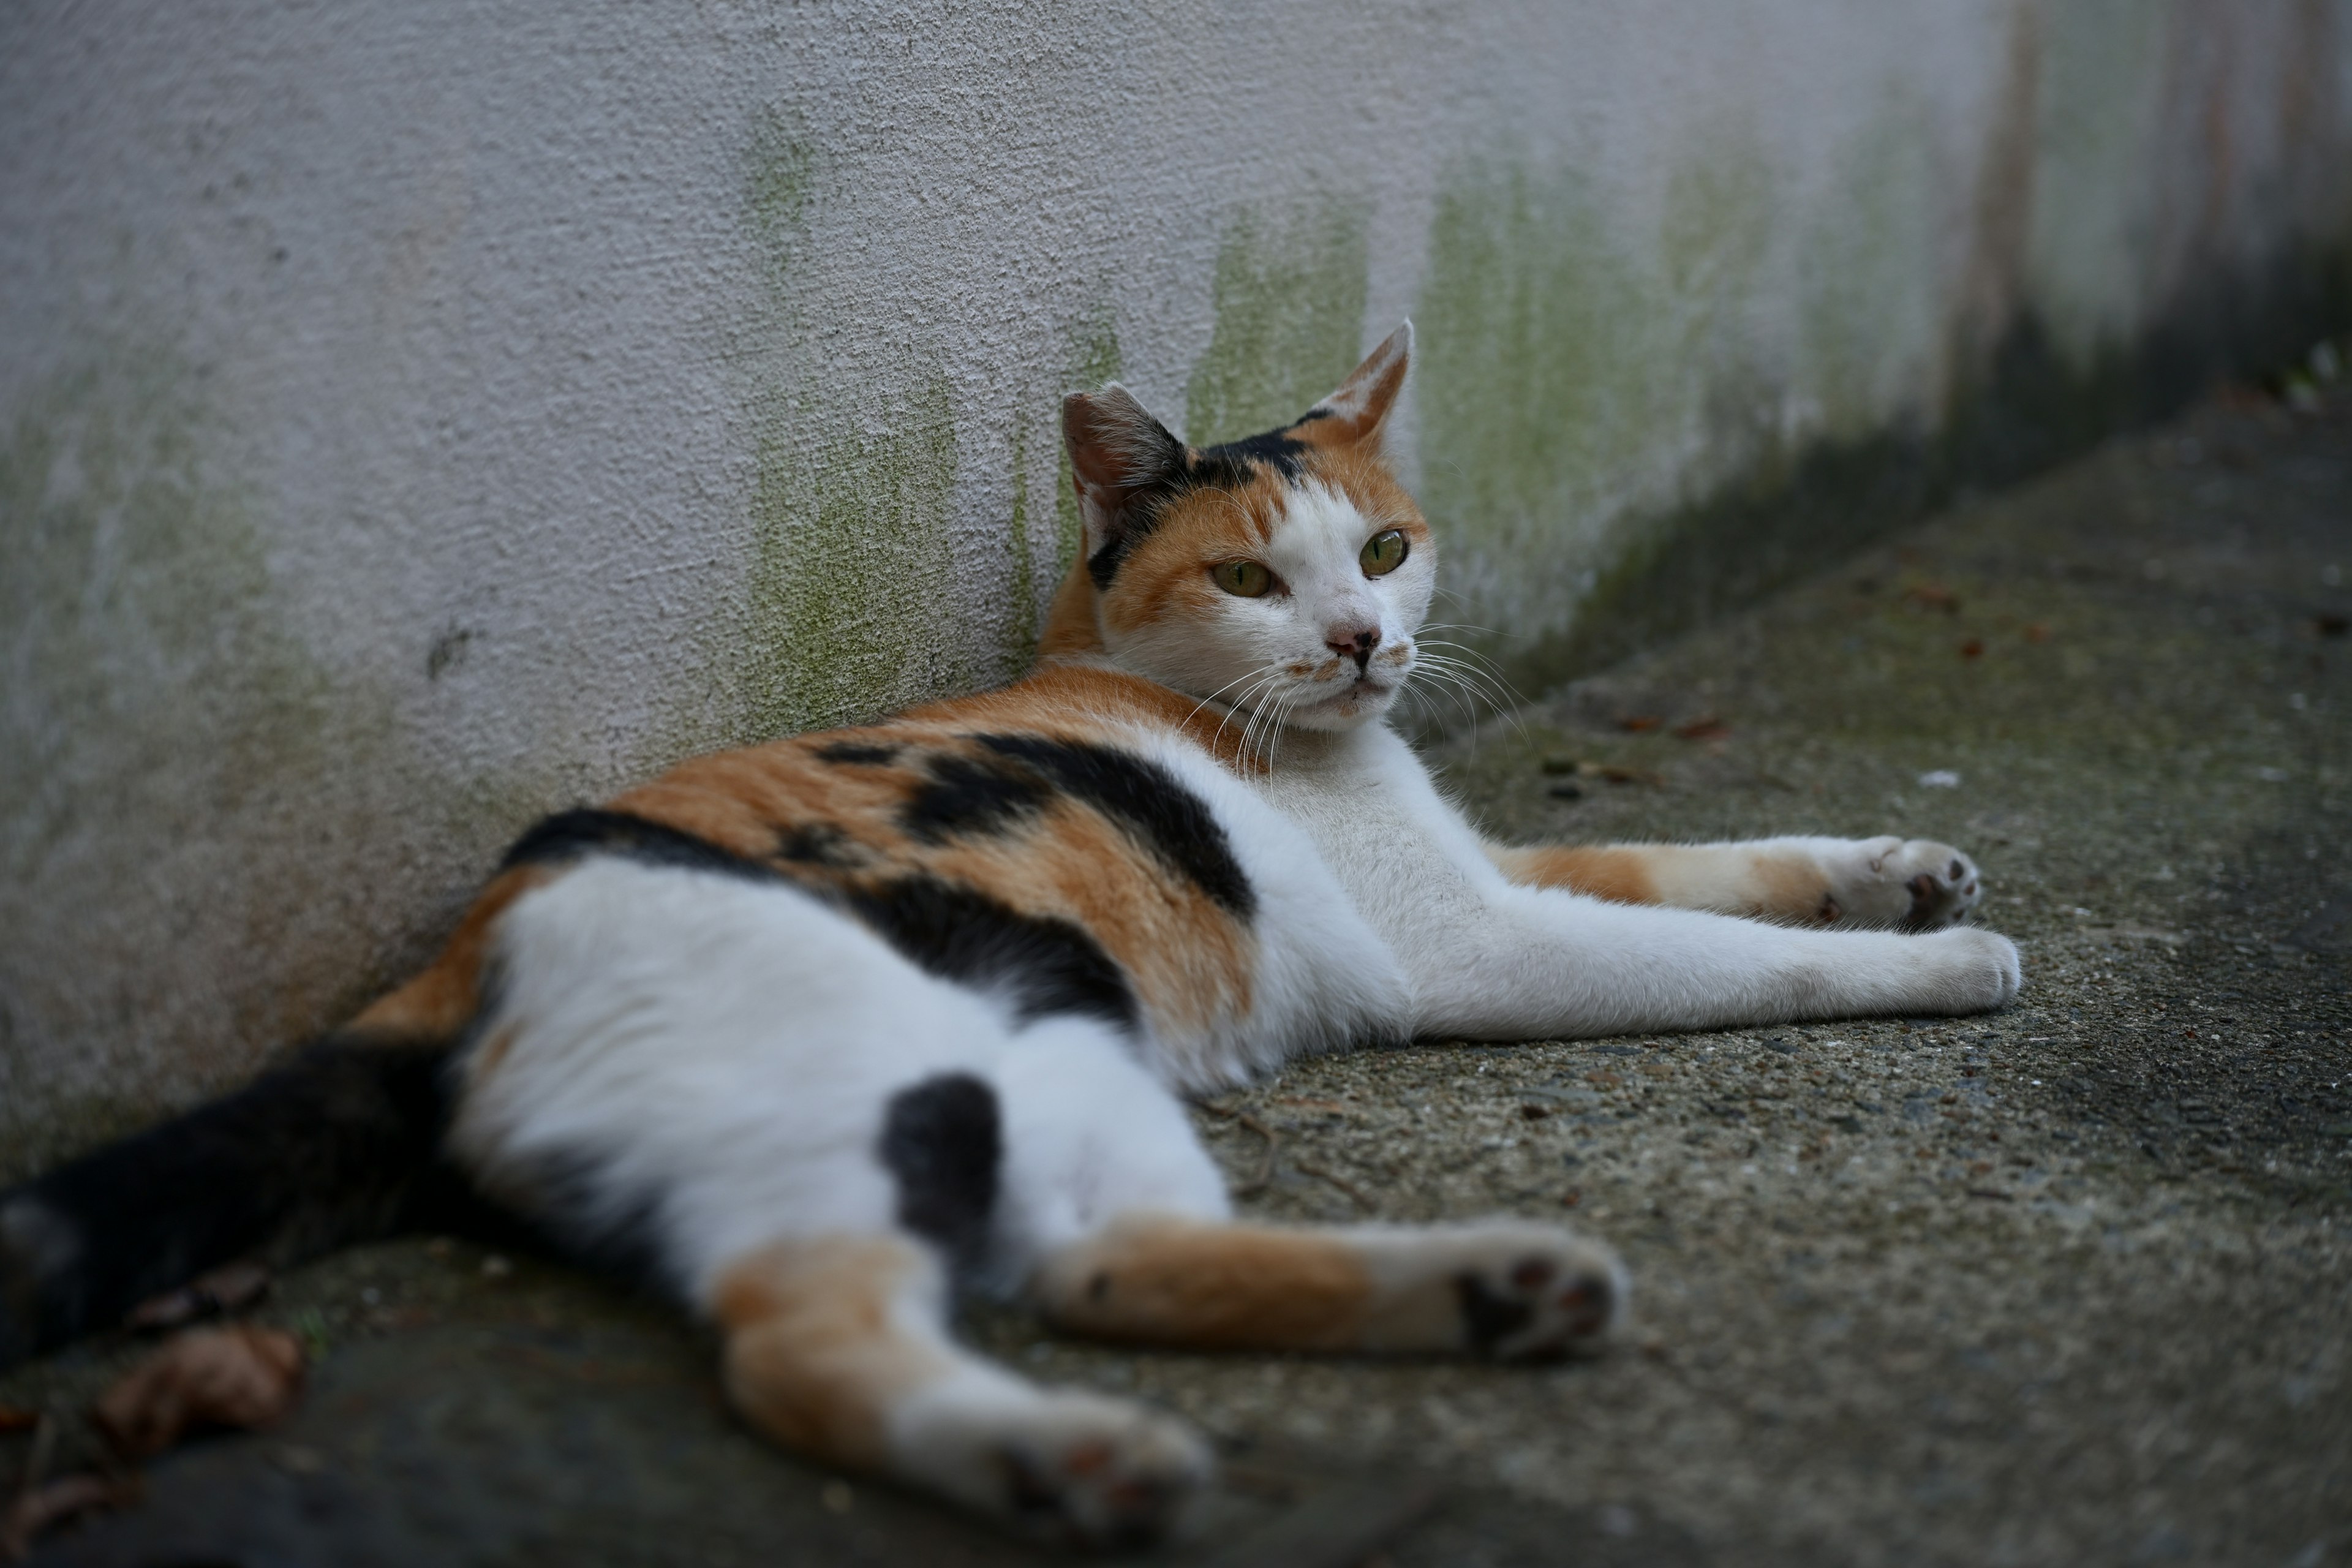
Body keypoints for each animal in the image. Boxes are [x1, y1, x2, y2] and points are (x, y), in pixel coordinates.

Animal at [4, 322, 2022, 1542]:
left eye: (1379, 552)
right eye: (1249, 573)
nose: (1362, 645)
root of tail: (453, 958)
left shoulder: (1494, 864)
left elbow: (1695, 858)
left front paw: (1904, 863)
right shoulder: (1470, 947)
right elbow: (1729, 956)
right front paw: (1936, 964)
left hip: (1056, 1036)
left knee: (1096, 1264)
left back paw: (1493, 1288)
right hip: (869, 1070)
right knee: (813, 1342)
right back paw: (1083, 1458)